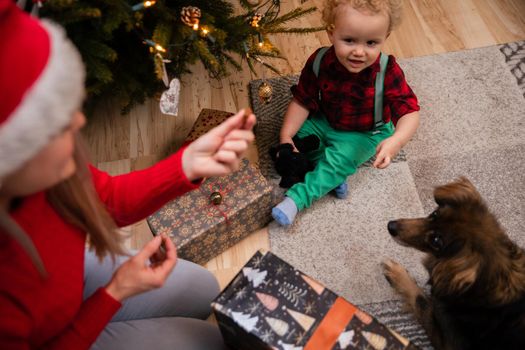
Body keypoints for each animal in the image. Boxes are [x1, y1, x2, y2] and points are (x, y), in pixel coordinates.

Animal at [382, 179, 524, 348]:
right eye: (434, 214)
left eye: (436, 241)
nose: (391, 226)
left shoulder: (448, 340)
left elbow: (421, 300)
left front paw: (397, 273)